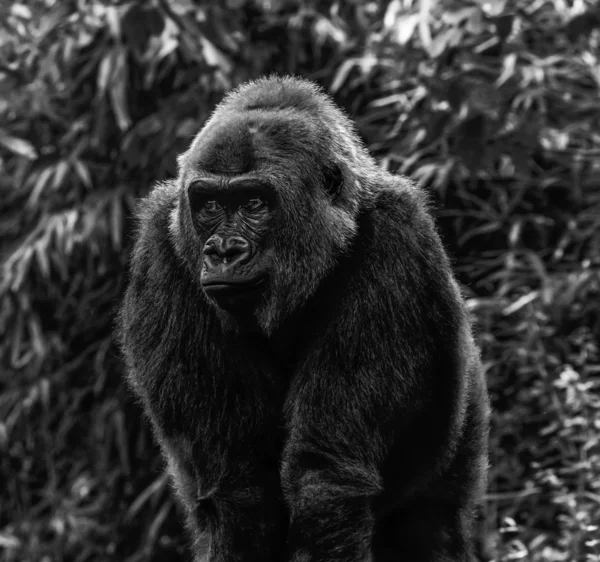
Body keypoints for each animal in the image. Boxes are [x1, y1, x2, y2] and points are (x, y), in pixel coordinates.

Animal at [119, 75, 490, 560]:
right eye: (210, 205)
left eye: (254, 202)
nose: (223, 251)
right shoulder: (160, 245)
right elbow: (238, 488)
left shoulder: (398, 235)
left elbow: (325, 481)